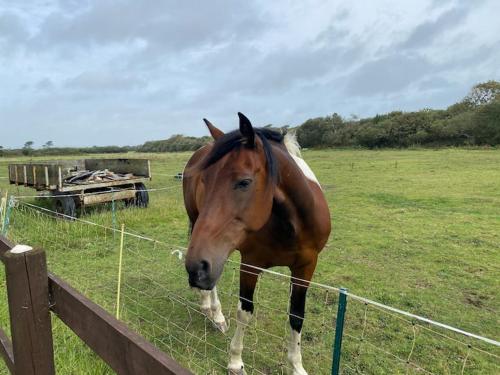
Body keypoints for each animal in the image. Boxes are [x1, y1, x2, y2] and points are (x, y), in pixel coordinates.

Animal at [182, 113, 330, 374]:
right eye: (204, 179)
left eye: (244, 182)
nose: (194, 267)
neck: (292, 224)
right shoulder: (250, 264)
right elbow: (245, 311)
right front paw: (235, 361)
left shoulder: (306, 267)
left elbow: (297, 316)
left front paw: (297, 366)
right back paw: (214, 313)